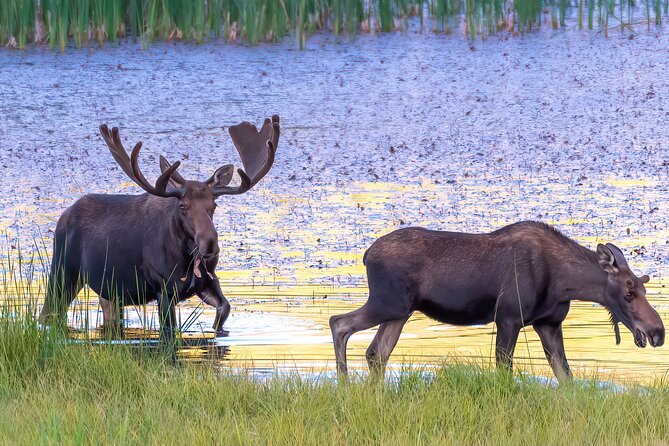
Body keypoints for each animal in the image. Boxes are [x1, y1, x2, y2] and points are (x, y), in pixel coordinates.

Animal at [39, 116, 280, 342]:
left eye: (213, 205)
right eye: (183, 206)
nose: (210, 243)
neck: (187, 260)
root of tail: (64, 216)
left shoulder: (209, 282)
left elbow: (225, 310)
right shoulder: (163, 287)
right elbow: (169, 328)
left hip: (110, 291)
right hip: (63, 271)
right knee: (47, 313)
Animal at [332, 221, 664, 382]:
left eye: (645, 289)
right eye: (629, 292)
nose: (657, 332)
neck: (565, 283)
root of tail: (366, 255)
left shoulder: (548, 324)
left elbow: (566, 376)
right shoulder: (508, 317)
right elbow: (505, 370)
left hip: (399, 313)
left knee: (376, 353)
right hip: (387, 304)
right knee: (340, 323)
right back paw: (344, 386)